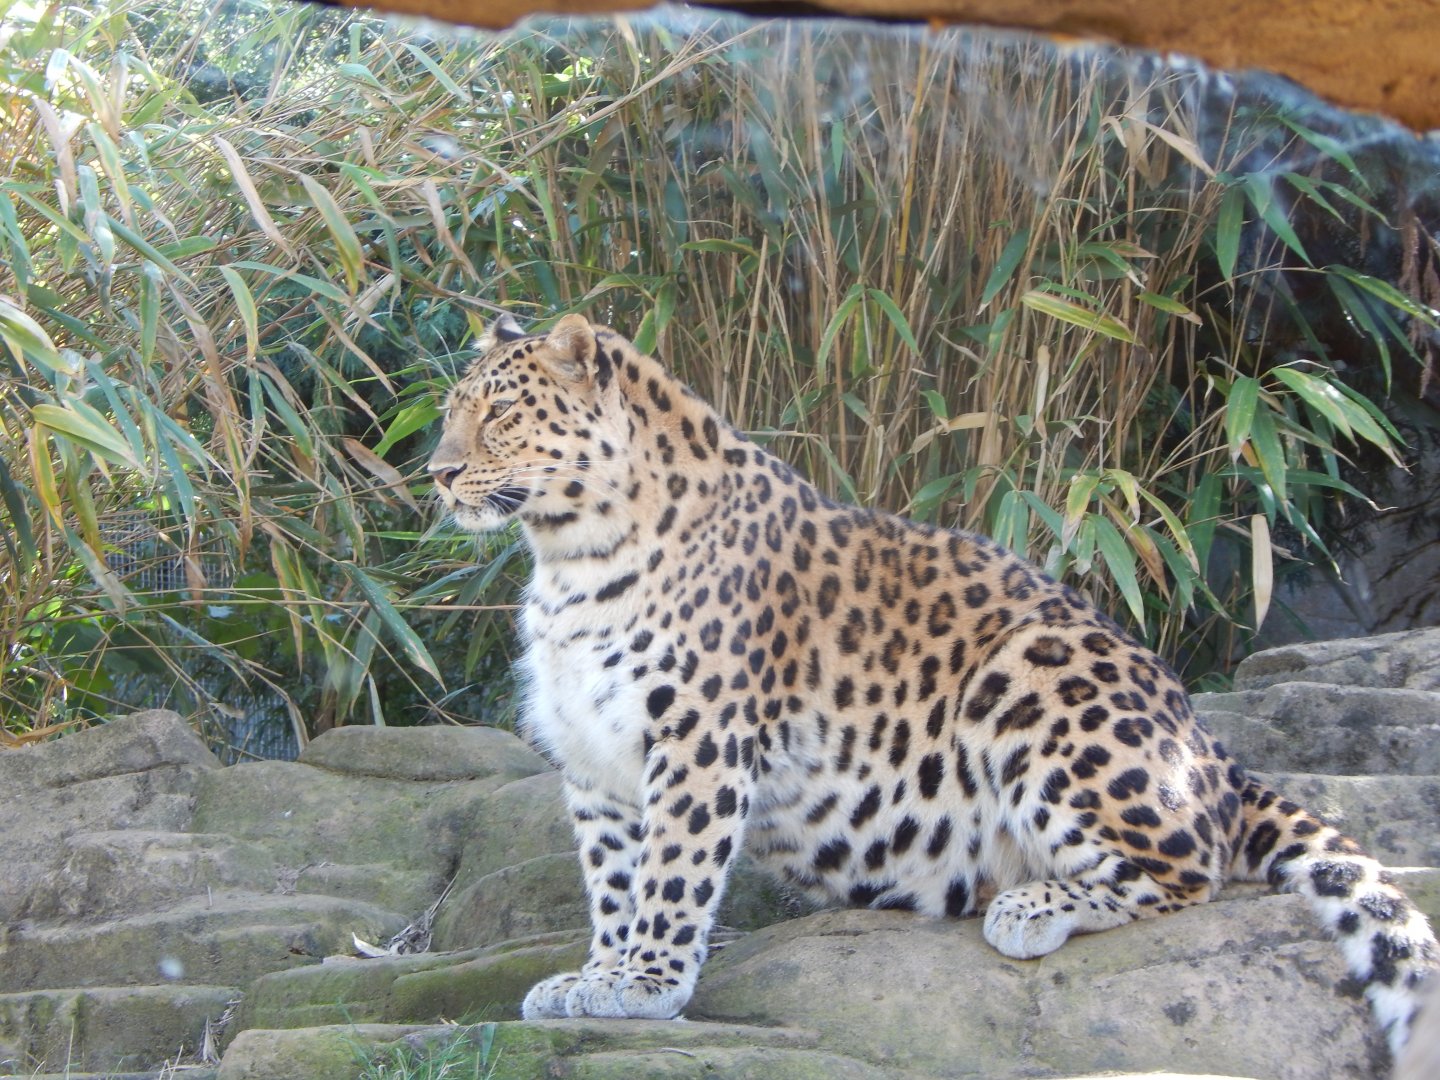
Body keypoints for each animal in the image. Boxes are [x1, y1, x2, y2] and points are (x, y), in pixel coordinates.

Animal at [427, 312, 1437, 1054]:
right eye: (448, 411)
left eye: (500, 415)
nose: (435, 472)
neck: (569, 555)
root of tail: (1209, 747)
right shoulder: (595, 757)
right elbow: (612, 879)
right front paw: (597, 977)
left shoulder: (700, 739)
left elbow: (672, 873)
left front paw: (645, 985)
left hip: (1035, 671)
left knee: (1194, 865)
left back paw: (1033, 907)